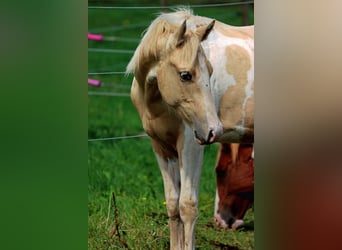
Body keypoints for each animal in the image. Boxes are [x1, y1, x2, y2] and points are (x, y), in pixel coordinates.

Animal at [127, 8, 252, 249]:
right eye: (185, 75)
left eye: (210, 71)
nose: (214, 130)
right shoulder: (162, 147)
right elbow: (173, 203)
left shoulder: (191, 145)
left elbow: (187, 206)